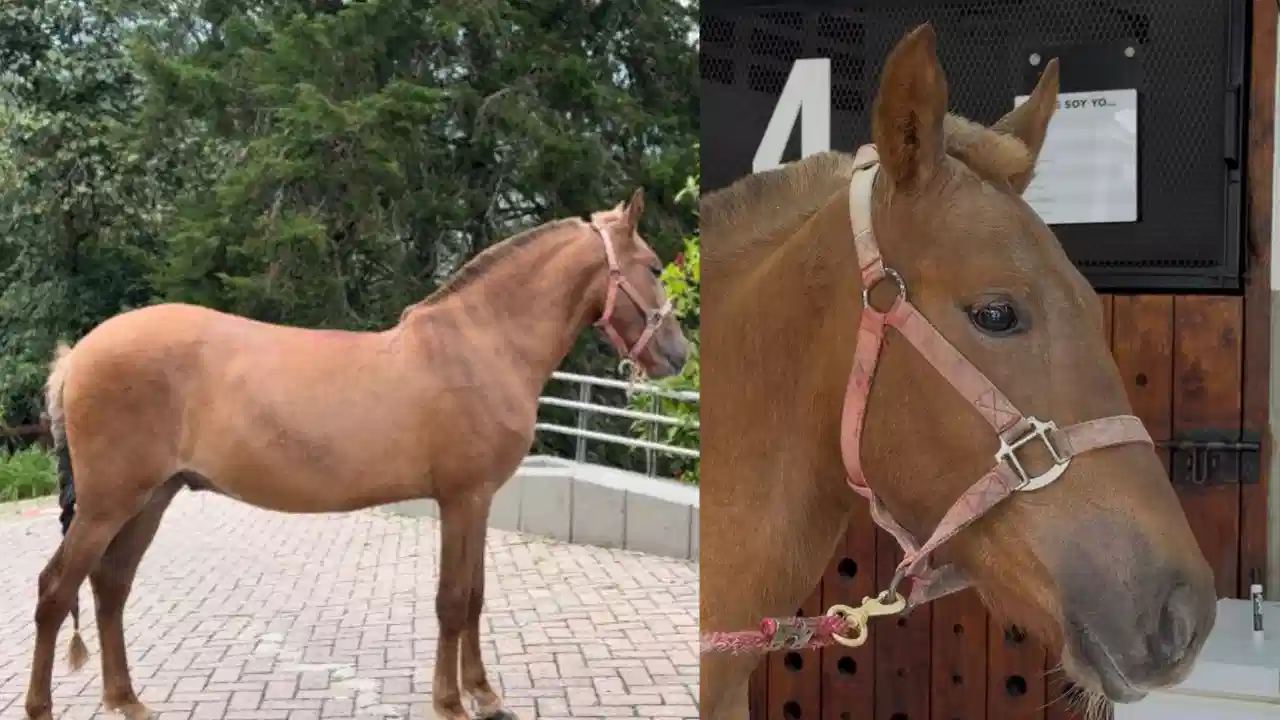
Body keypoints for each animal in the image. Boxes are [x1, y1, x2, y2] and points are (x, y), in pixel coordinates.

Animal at [22, 190, 691, 720]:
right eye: (654, 266)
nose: (678, 354)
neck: (481, 344)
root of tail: (79, 353)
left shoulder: (479, 502)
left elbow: (475, 597)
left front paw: (485, 695)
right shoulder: (462, 499)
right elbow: (452, 600)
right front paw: (450, 702)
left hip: (151, 498)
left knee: (110, 587)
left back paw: (127, 700)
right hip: (108, 504)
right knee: (56, 590)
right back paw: (43, 706)